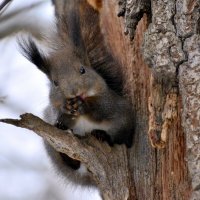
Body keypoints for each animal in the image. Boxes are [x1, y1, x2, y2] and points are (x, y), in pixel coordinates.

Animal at [19, 0, 134, 188]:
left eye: (82, 70)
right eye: (55, 83)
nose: (74, 91)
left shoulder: (112, 102)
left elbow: (103, 109)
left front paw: (85, 106)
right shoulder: (53, 108)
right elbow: (60, 114)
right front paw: (65, 113)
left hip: (123, 126)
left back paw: (101, 135)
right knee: (69, 162)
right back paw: (69, 158)